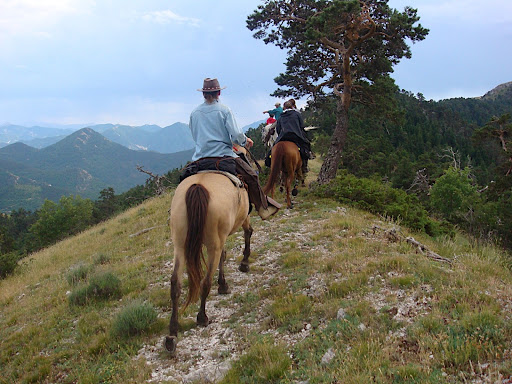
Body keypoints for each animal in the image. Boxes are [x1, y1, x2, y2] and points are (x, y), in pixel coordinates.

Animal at [164, 172, 252, 356]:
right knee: (205, 282)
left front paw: (223, 283)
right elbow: (247, 233)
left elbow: (223, 256)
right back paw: (202, 317)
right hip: (213, 244)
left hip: (180, 245)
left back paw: (172, 334)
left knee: (175, 283)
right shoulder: (243, 218)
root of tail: (198, 187)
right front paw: (244, 264)